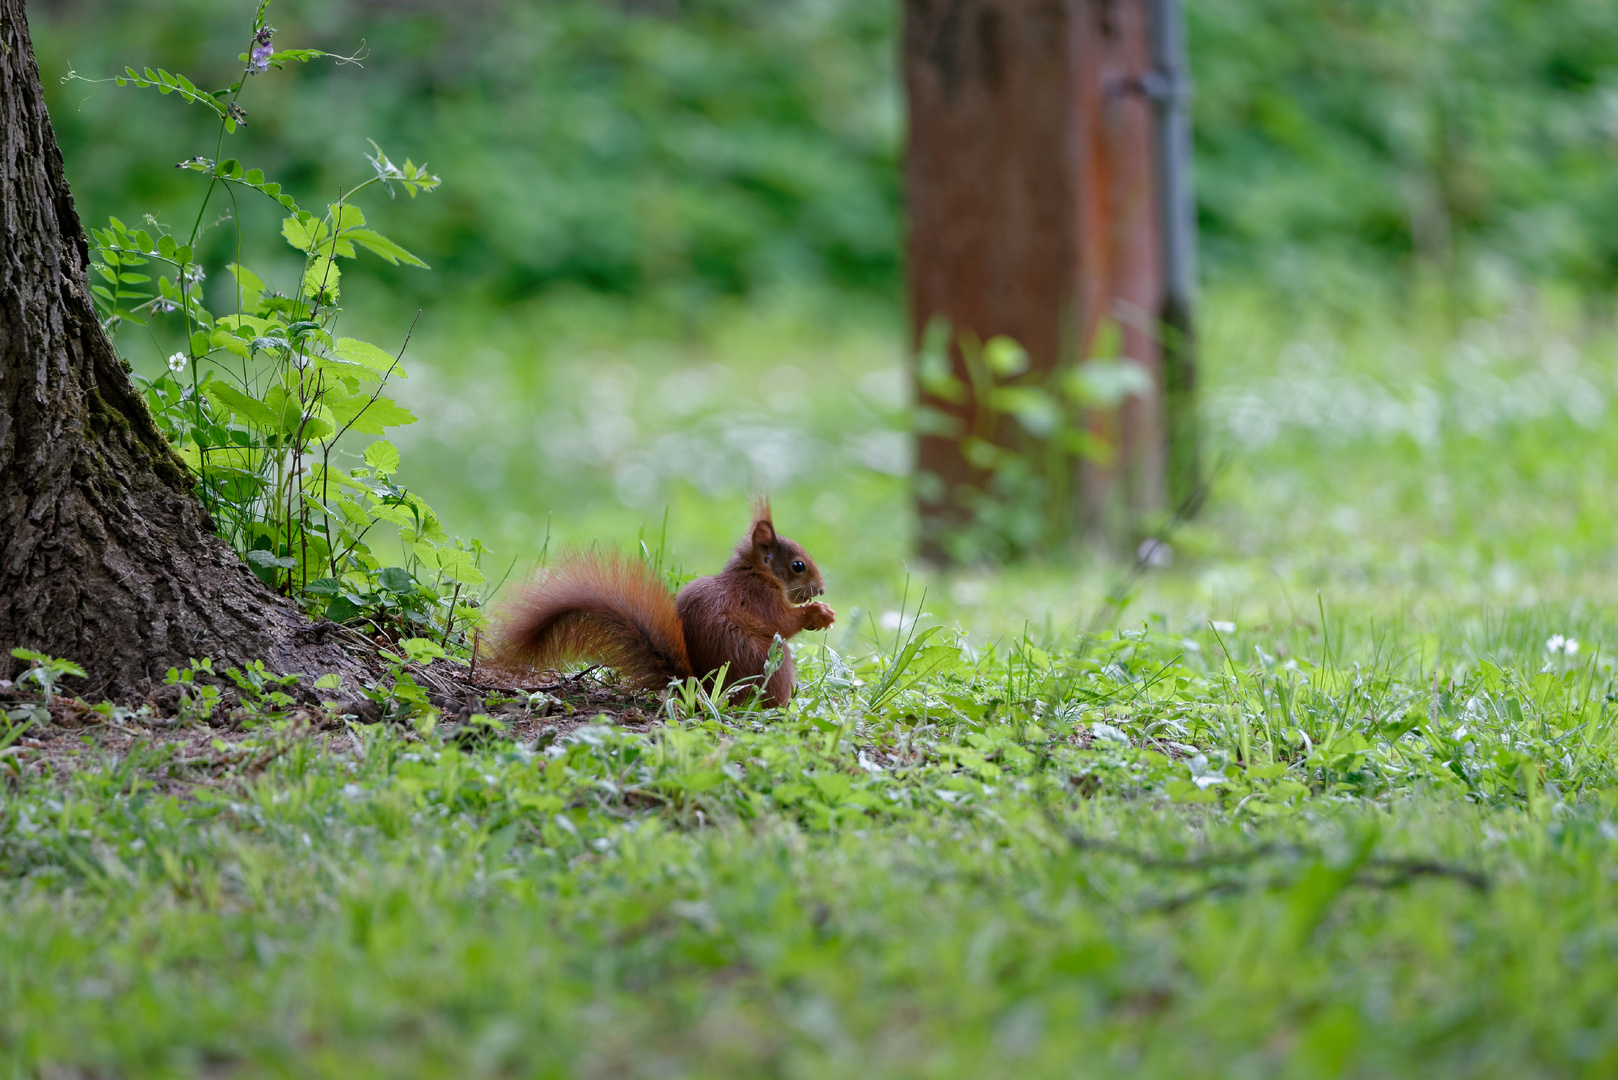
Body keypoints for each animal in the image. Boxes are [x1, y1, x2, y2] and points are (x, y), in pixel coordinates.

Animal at [488, 501, 834, 705]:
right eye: (798, 566)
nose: (821, 589)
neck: (755, 572)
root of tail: (696, 686)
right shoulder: (760, 597)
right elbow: (783, 623)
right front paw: (817, 614)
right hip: (772, 664)